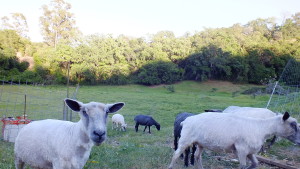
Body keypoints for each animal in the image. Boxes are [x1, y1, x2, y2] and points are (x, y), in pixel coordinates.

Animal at [169, 111, 300, 169]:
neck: (262, 129)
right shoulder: (241, 150)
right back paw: (170, 167)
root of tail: (186, 120)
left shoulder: (249, 152)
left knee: (197, 156)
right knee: (175, 154)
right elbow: (242, 166)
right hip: (185, 140)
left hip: (200, 143)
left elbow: (255, 164)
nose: (299, 141)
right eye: (293, 124)